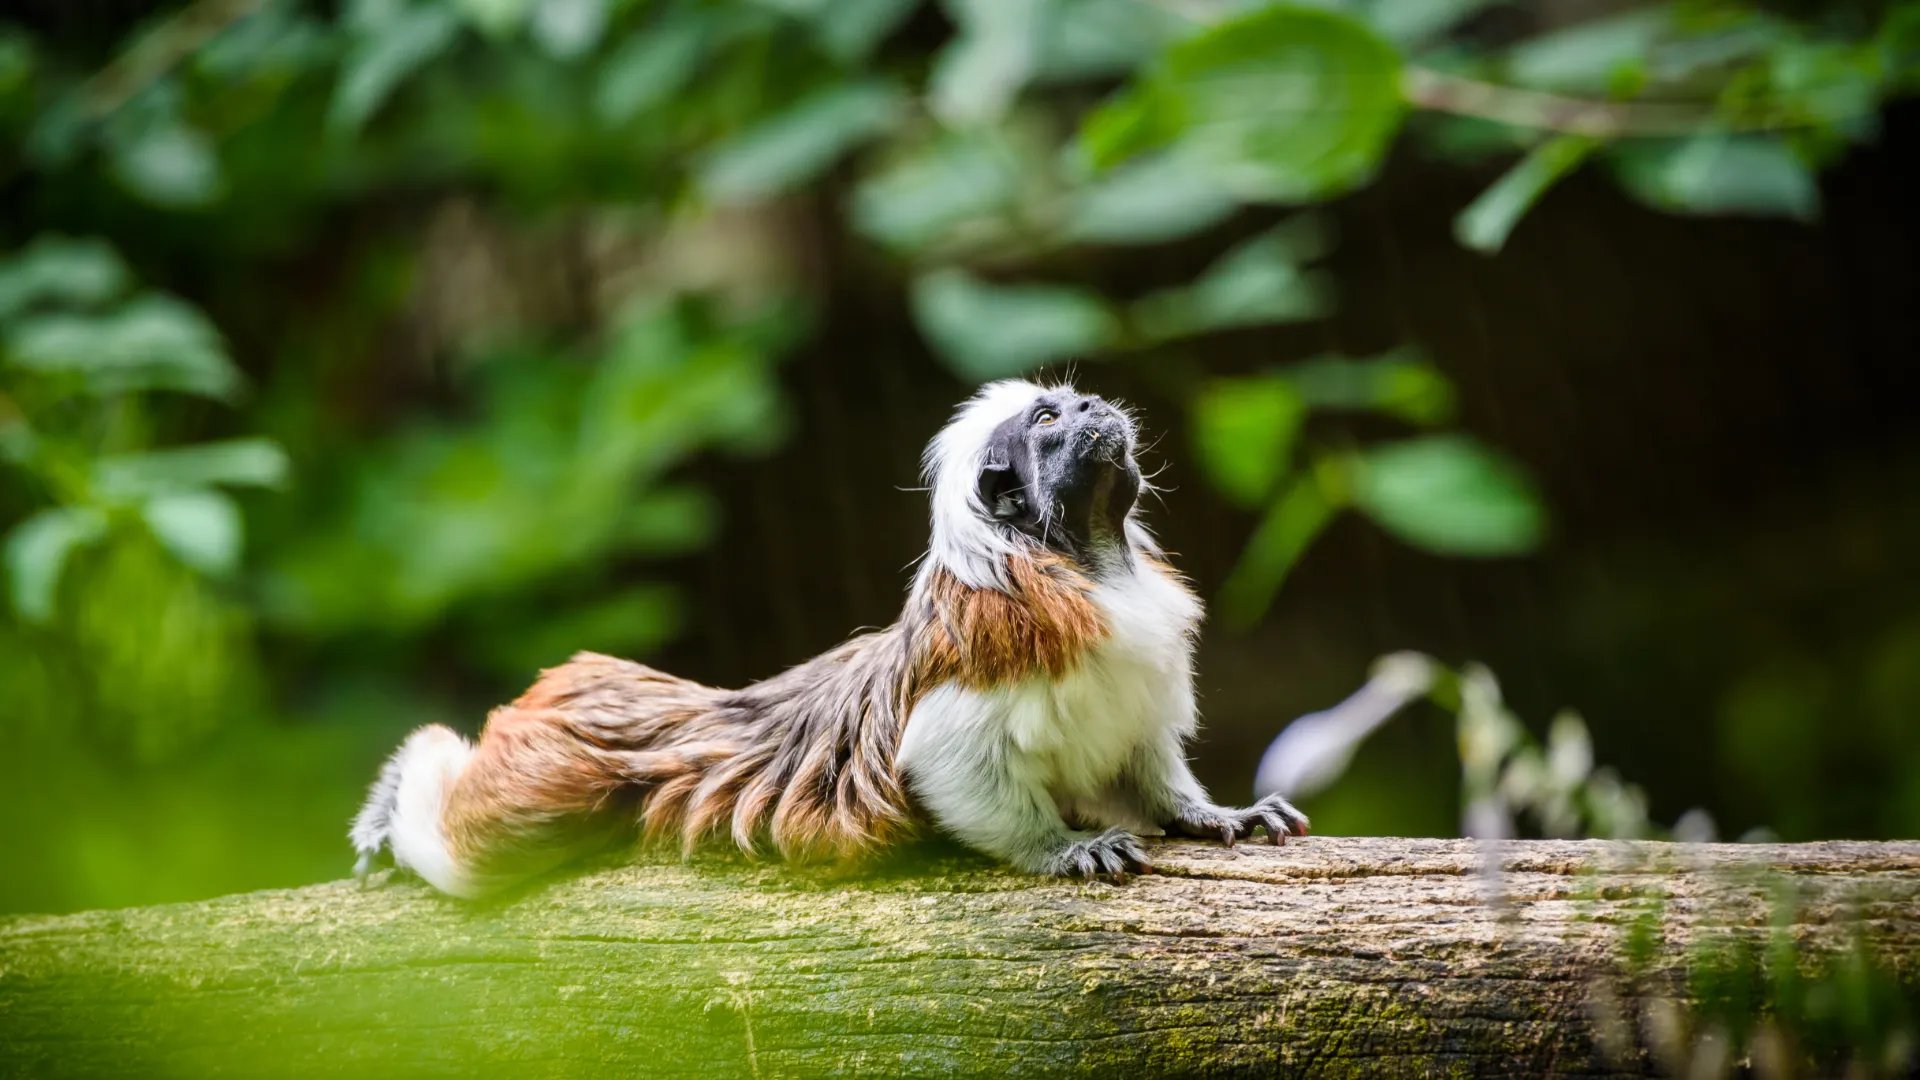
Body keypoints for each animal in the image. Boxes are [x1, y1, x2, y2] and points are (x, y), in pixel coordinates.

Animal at [349, 379, 1308, 897]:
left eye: (1076, 402)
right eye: (1049, 421)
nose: (1094, 404)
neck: (1089, 563)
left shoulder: (1138, 681)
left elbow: (1145, 763)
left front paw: (1211, 814)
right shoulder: (992, 653)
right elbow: (946, 761)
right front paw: (1061, 847)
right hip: (560, 772)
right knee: (474, 848)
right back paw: (396, 794)